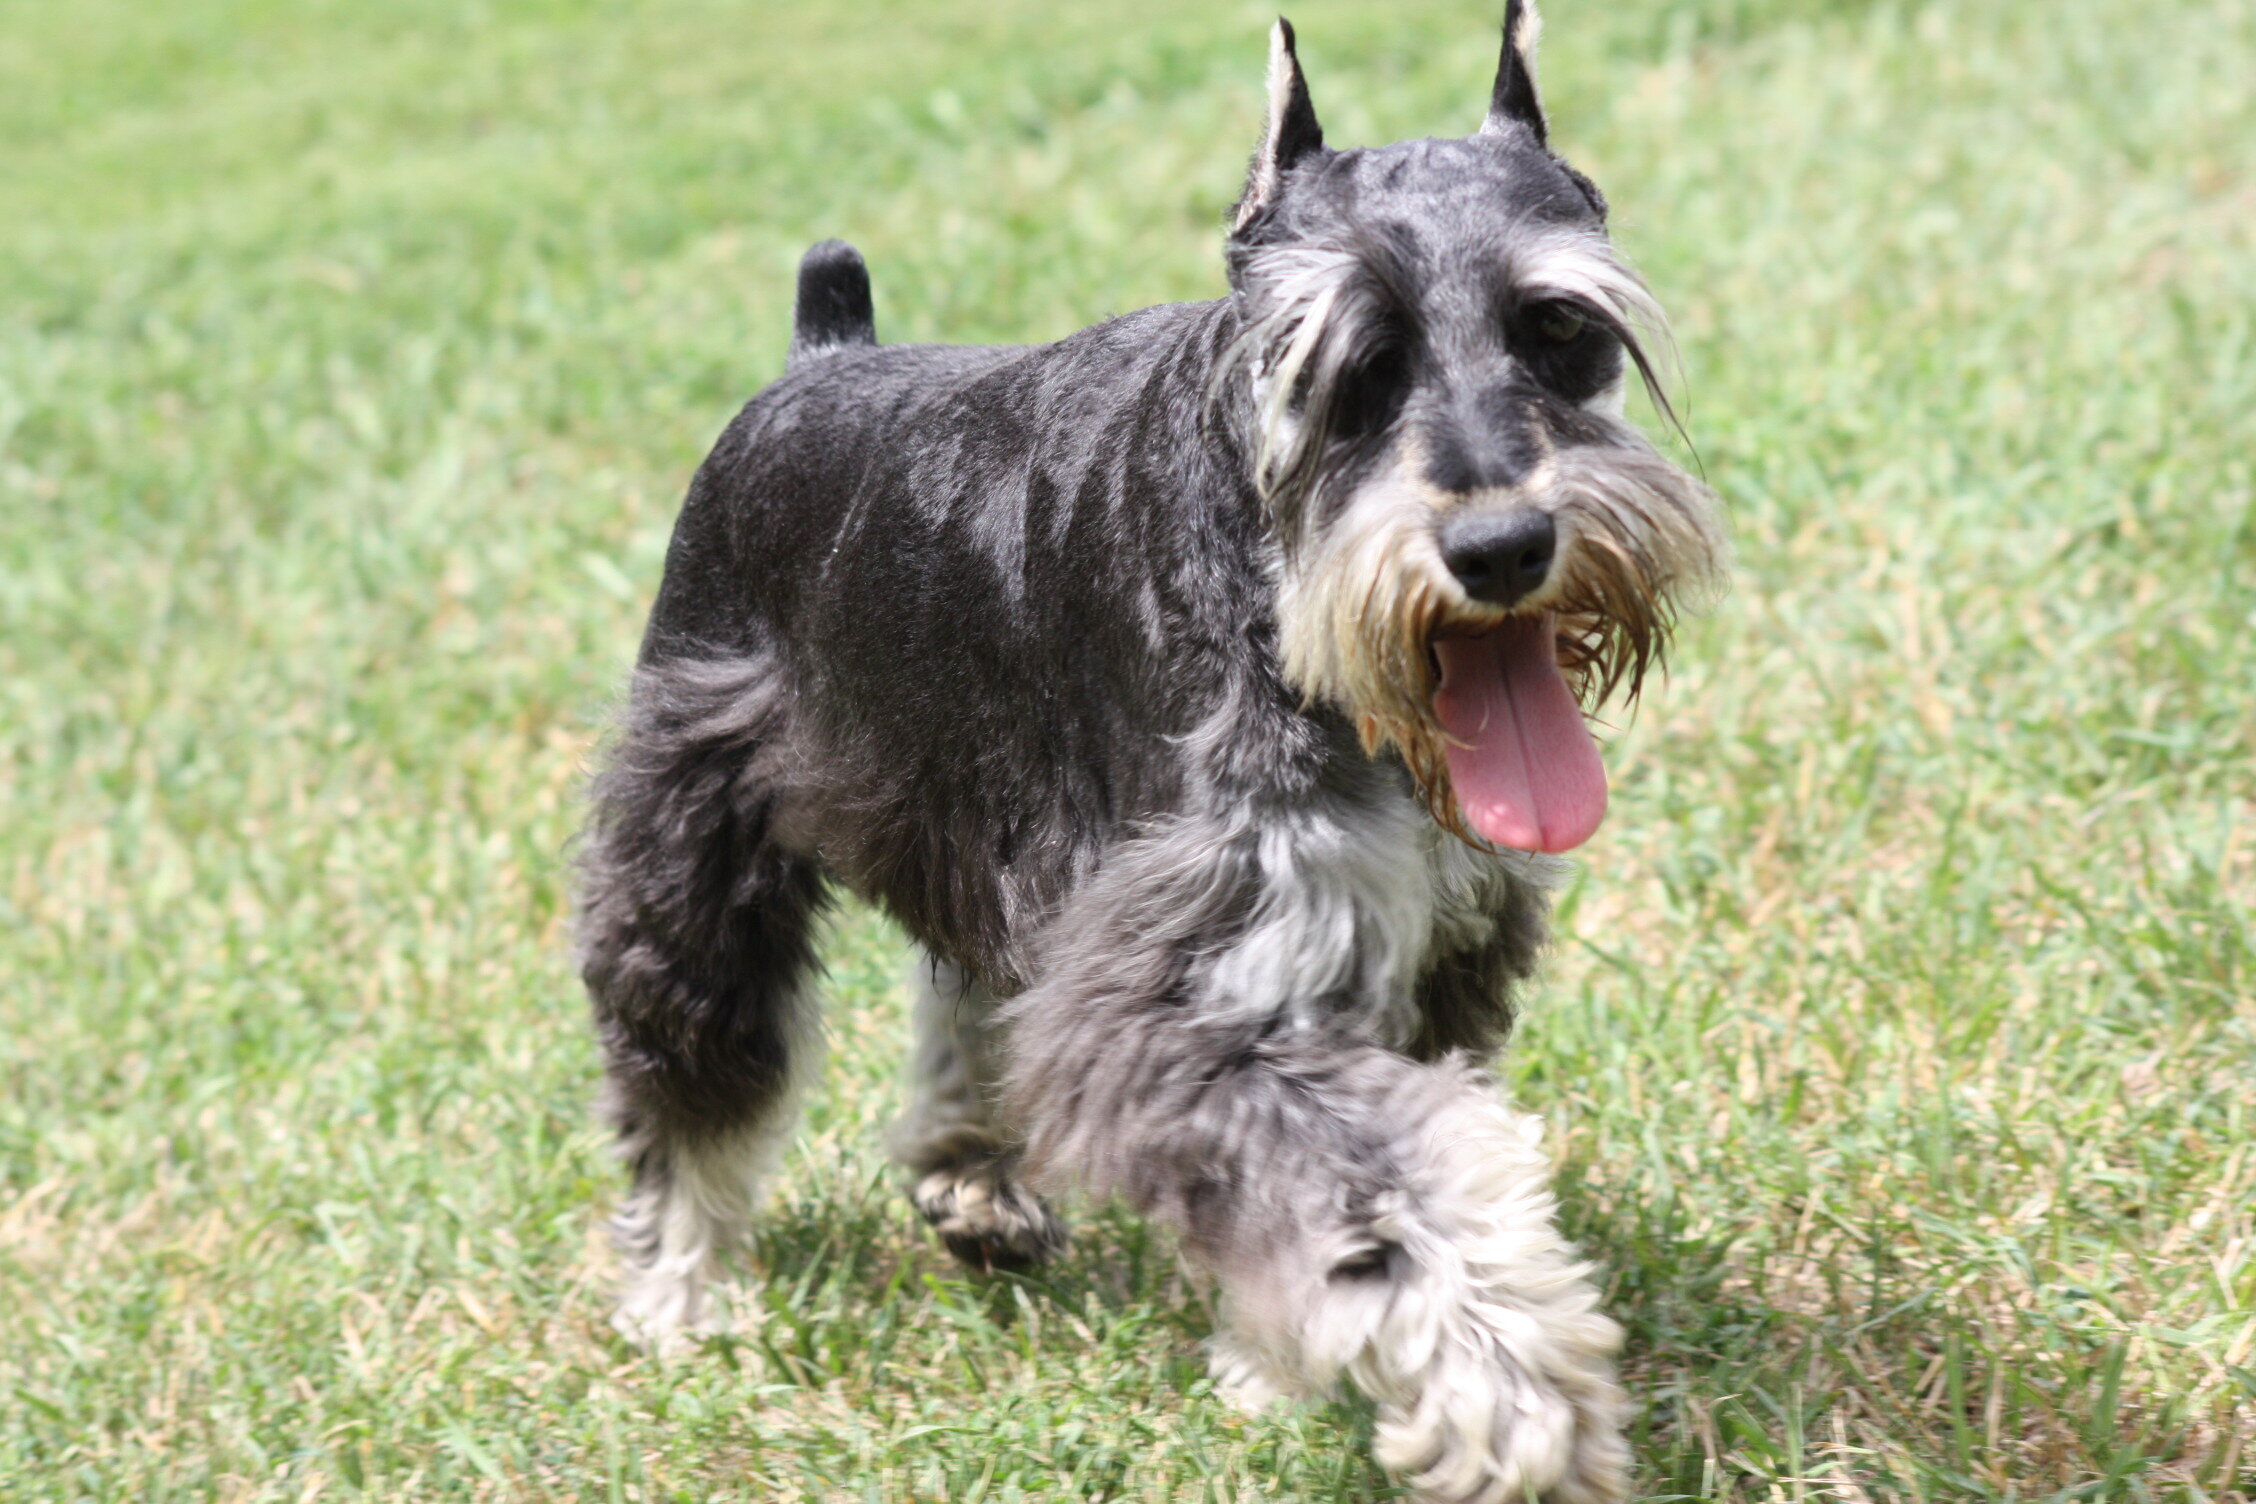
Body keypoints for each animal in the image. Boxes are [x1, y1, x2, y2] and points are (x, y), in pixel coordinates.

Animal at [577, 5, 1723, 1497]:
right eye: (1351, 370)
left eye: (1560, 328)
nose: (1501, 549)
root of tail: (816, 358)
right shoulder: (1194, 982)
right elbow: (1380, 1188)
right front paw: (1516, 1401)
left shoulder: (1418, 949)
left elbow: (1361, 1175)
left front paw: (1275, 1368)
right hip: (692, 841)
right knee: (690, 1072)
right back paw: (682, 1299)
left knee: (972, 987)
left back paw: (971, 1174)